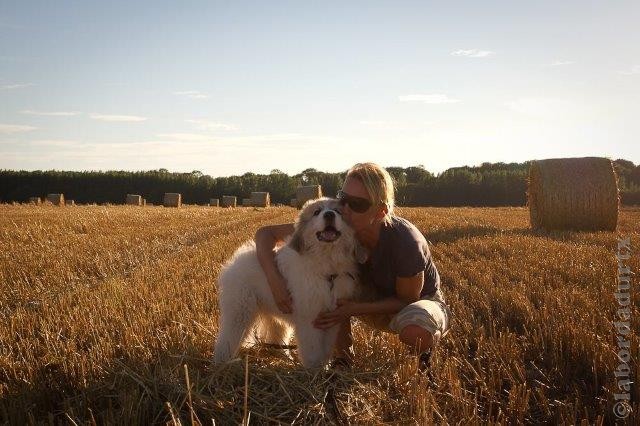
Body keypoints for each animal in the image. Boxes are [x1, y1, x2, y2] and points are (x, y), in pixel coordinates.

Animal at [214, 198, 362, 368]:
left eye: (338, 211)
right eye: (317, 212)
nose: (329, 215)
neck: (326, 264)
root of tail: (234, 261)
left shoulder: (331, 319)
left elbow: (325, 349)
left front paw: (324, 367)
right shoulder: (310, 318)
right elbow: (313, 349)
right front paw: (314, 369)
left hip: (274, 314)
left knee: (275, 335)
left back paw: (283, 356)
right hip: (239, 311)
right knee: (227, 338)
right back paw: (222, 362)